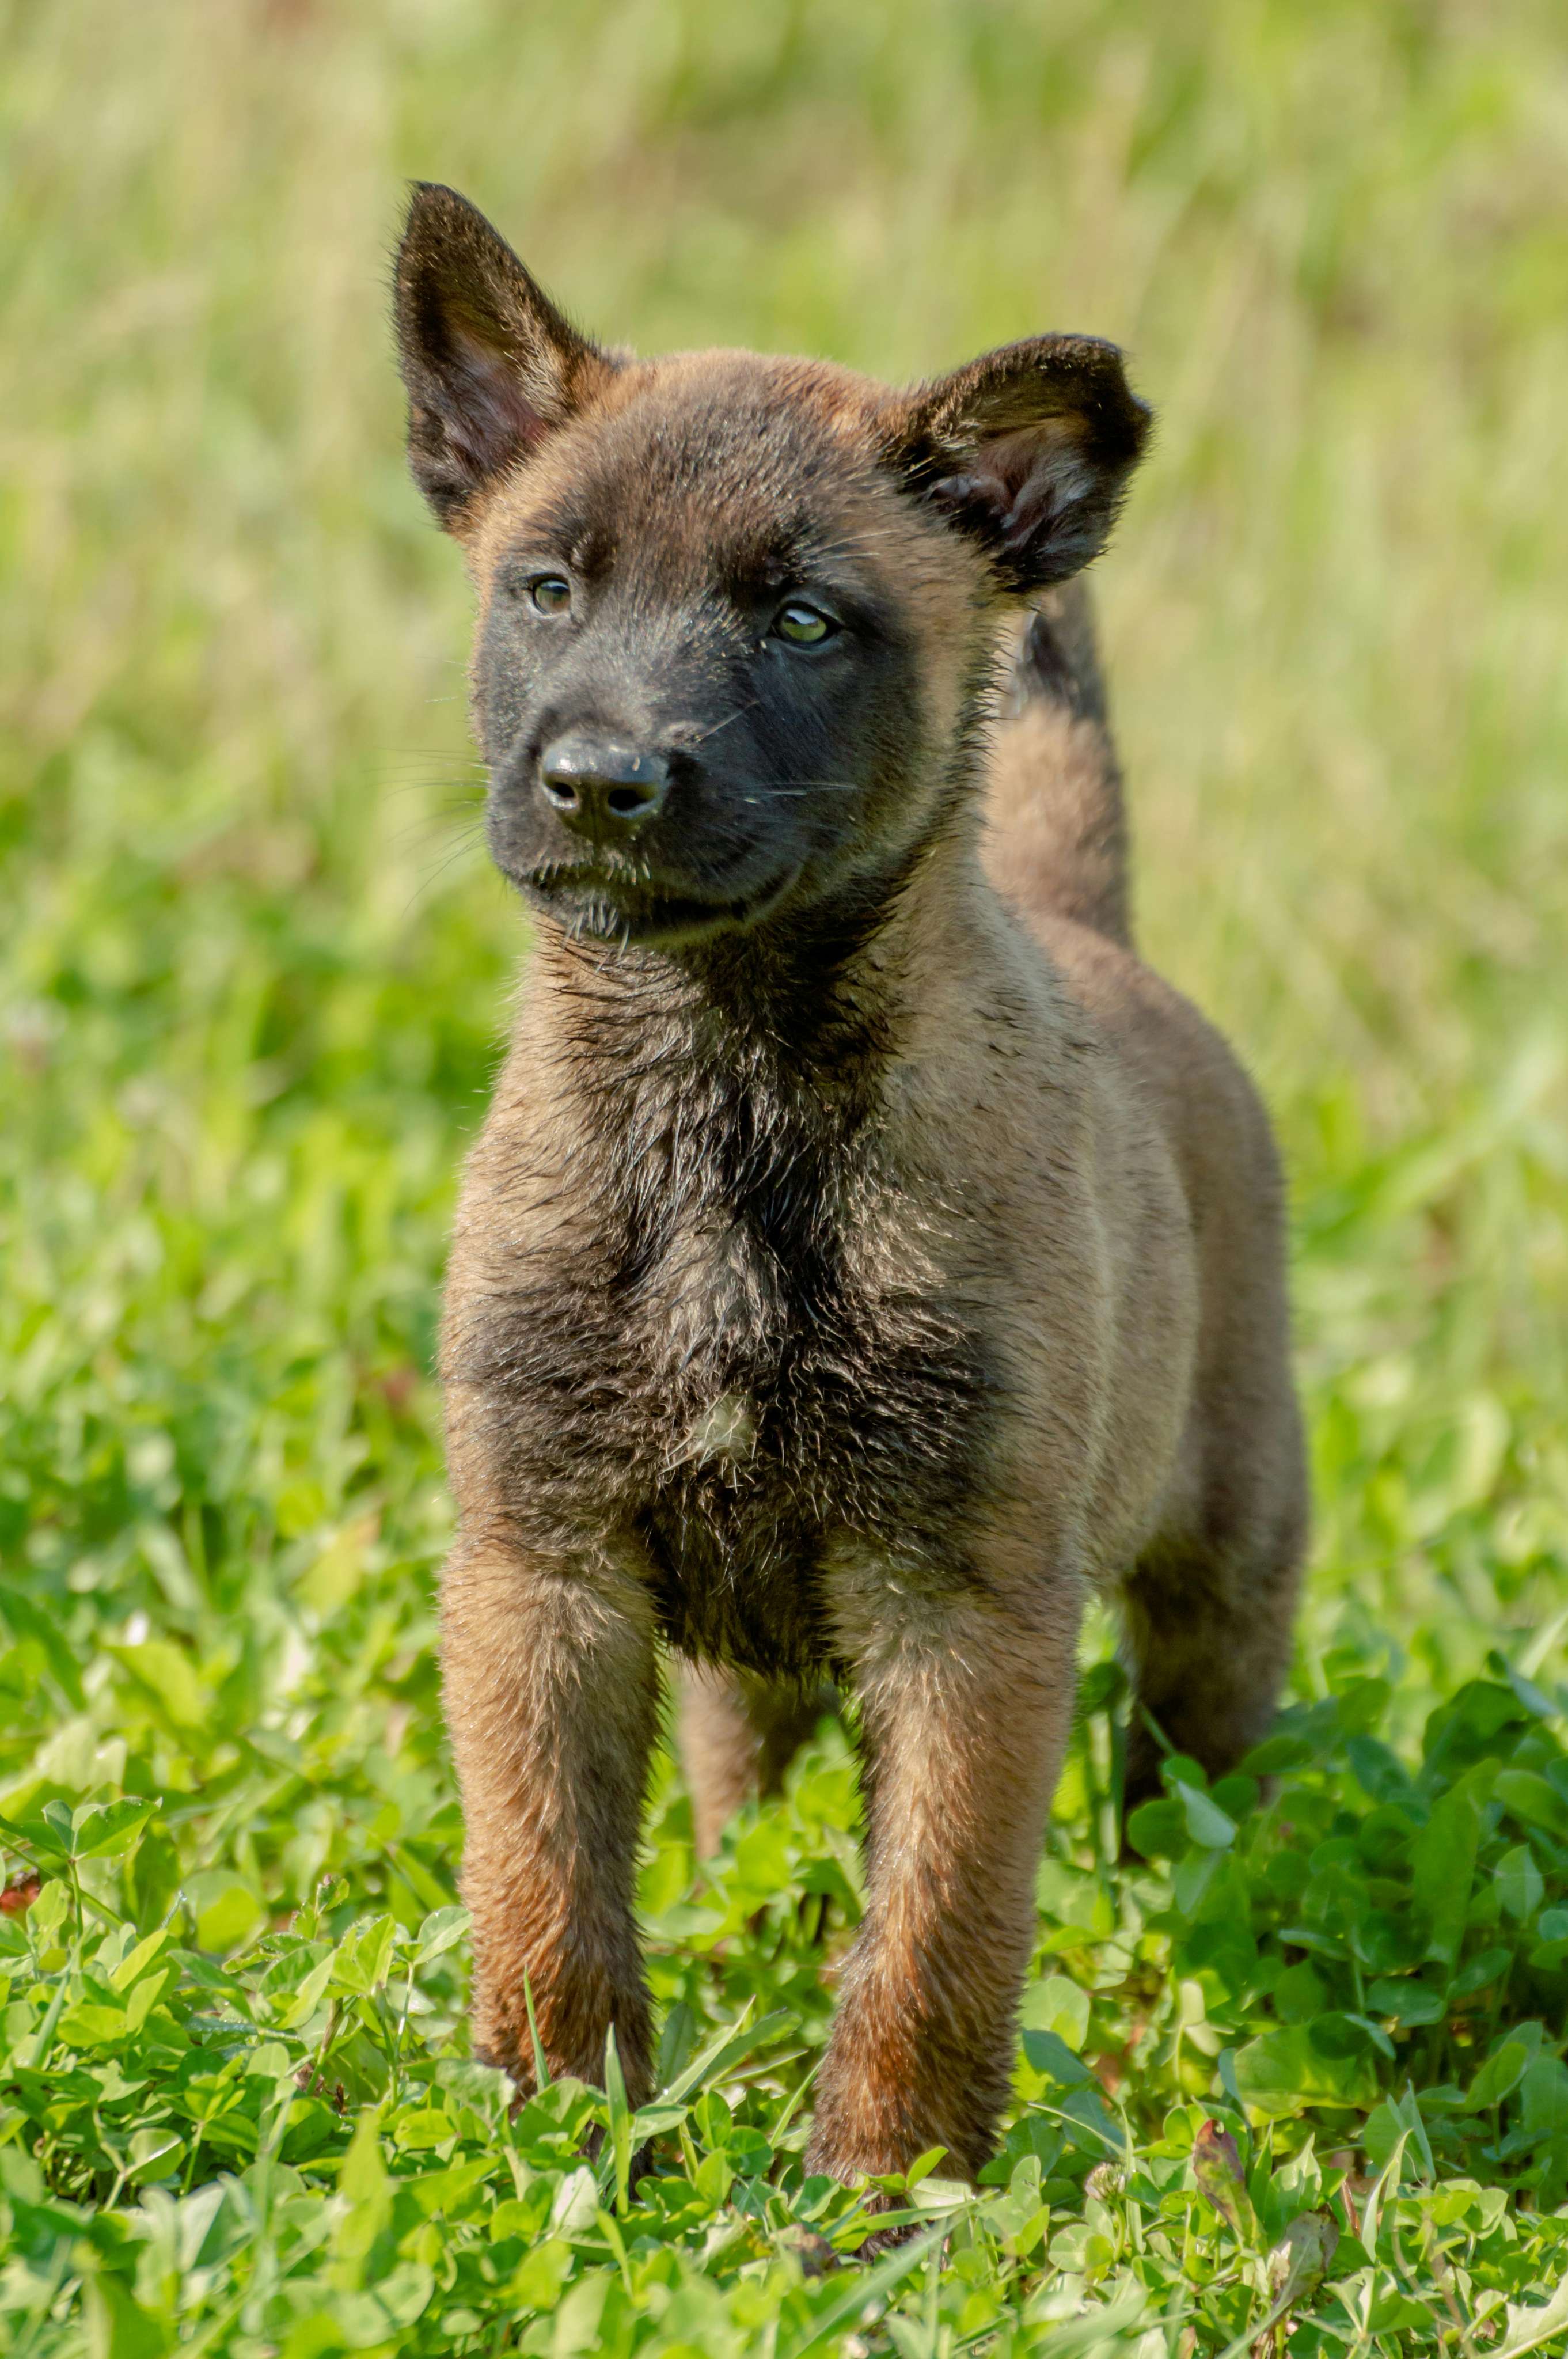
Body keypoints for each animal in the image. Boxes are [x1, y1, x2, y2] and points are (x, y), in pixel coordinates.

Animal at [393, 184, 1311, 2189]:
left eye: (806, 621)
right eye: (548, 587)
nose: (600, 783)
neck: (722, 1096)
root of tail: (1087, 928)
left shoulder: (964, 1617)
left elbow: (935, 1937)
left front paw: (887, 2193)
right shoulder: (540, 1569)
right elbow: (546, 1890)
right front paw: (560, 2146)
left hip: (1225, 1561)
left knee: (1196, 1774)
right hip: (740, 1658)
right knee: (736, 1787)